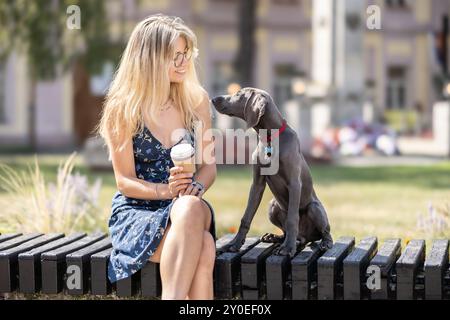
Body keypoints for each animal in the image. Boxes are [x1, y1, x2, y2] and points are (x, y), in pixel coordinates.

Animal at [210, 87, 330, 258]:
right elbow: (246, 217)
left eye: (239, 94)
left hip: (314, 208)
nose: (213, 99)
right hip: (273, 206)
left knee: (324, 231)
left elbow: (292, 218)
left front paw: (288, 249)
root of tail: (305, 236)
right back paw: (276, 238)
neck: (269, 137)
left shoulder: (295, 183)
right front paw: (232, 244)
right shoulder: (256, 184)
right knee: (289, 232)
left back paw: (322, 243)